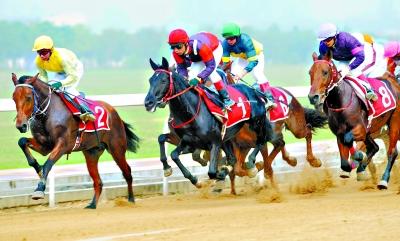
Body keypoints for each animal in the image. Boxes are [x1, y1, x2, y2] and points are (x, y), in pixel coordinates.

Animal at [11, 73, 140, 209]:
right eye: (13, 98)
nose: (21, 125)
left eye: (28, 97)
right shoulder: (45, 146)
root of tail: (114, 112)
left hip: (117, 149)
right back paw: (92, 205)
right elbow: (22, 142)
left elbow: (47, 164)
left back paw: (131, 200)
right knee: (98, 181)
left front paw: (39, 189)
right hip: (92, 153)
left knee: (127, 172)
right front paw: (37, 167)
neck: (49, 112)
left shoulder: (63, 145)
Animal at [144, 57, 272, 187]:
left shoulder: (215, 142)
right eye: (150, 80)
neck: (192, 112)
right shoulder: (188, 141)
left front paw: (218, 174)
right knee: (234, 157)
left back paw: (252, 165)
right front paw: (183, 174)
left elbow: (212, 172)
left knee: (261, 141)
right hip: (229, 137)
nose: (148, 102)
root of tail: (254, 91)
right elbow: (172, 153)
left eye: (163, 80)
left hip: (256, 123)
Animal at [306, 51, 400, 189]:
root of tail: (393, 80)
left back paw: (383, 180)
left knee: (392, 152)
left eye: (325, 72)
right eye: (310, 72)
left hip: (394, 122)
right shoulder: (340, 133)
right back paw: (361, 169)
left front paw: (358, 156)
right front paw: (351, 167)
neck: (340, 101)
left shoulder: (360, 129)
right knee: (374, 147)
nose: (313, 97)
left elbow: (348, 139)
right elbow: (345, 160)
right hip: (372, 130)